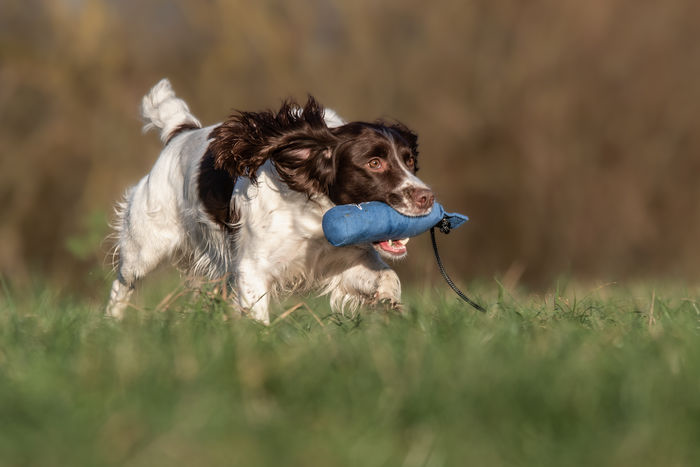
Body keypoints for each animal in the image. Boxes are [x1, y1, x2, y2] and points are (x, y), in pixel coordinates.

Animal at [105, 78, 432, 324]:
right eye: (374, 163)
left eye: (409, 160)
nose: (427, 198)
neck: (315, 216)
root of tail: (180, 133)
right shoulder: (252, 268)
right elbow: (257, 317)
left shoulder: (344, 260)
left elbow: (389, 277)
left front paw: (388, 304)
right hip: (146, 245)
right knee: (123, 281)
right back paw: (111, 323)